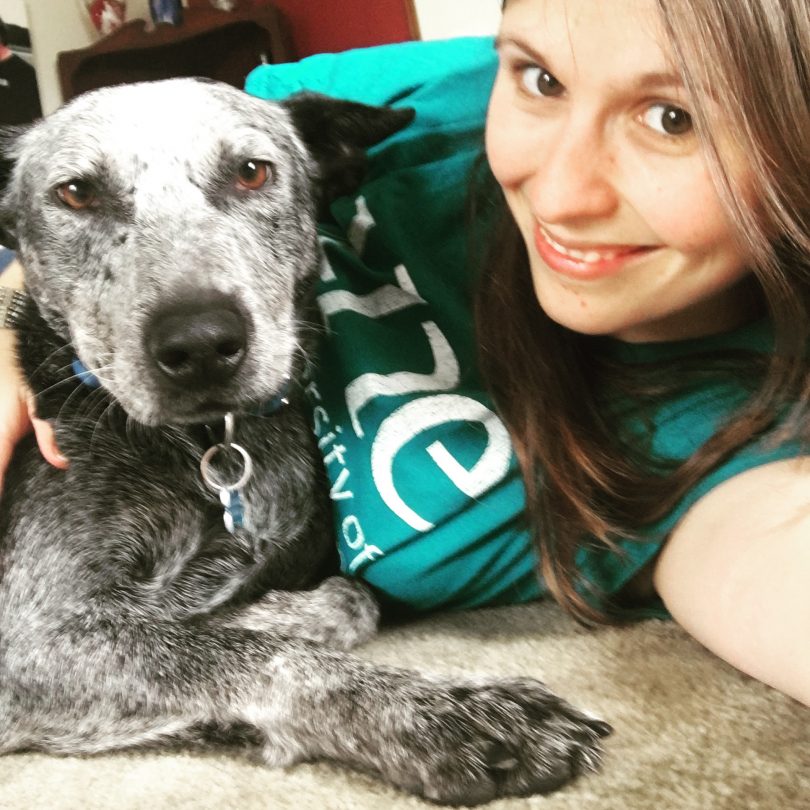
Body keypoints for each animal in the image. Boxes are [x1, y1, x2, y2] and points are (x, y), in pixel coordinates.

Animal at [0, 77, 608, 800]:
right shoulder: (33, 635)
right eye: (75, 193)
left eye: (251, 171)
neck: (211, 446)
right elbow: (264, 655)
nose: (200, 344)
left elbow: (345, 600)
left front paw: (256, 613)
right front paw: (448, 715)